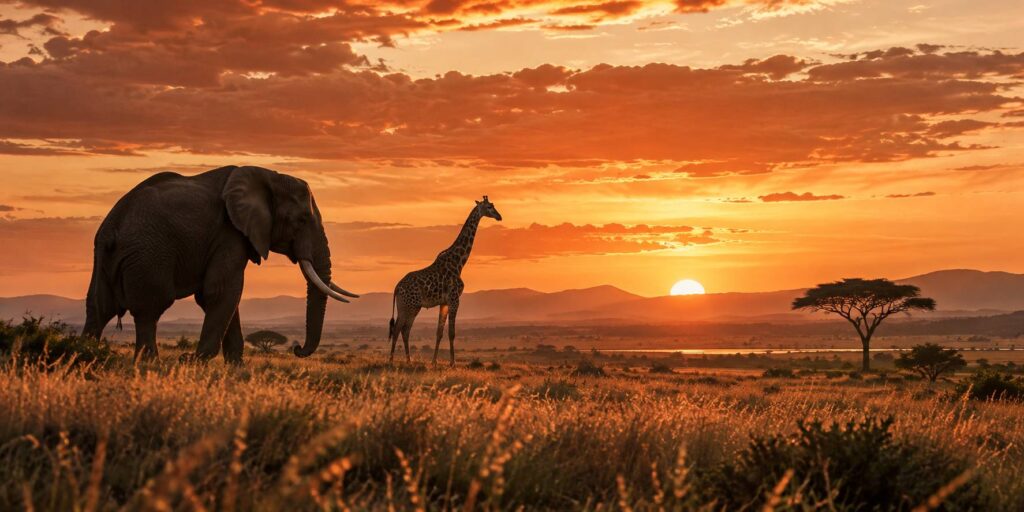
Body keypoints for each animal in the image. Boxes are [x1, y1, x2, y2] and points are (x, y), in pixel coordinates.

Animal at [82, 165, 358, 363]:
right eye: (301, 220)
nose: (297, 348)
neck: (269, 176)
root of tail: (112, 228)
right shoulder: (229, 232)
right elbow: (219, 291)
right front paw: (193, 361)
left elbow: (225, 296)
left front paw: (236, 367)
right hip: (149, 254)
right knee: (149, 309)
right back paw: (150, 364)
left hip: (103, 256)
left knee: (98, 307)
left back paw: (84, 357)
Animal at [388, 196, 502, 366]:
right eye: (489, 207)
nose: (499, 216)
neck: (459, 262)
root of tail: (396, 287)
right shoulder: (454, 299)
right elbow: (451, 332)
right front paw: (452, 363)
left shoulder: (444, 302)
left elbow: (439, 332)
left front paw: (434, 361)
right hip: (409, 306)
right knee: (398, 329)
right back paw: (391, 360)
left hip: (410, 307)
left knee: (404, 330)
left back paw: (408, 361)